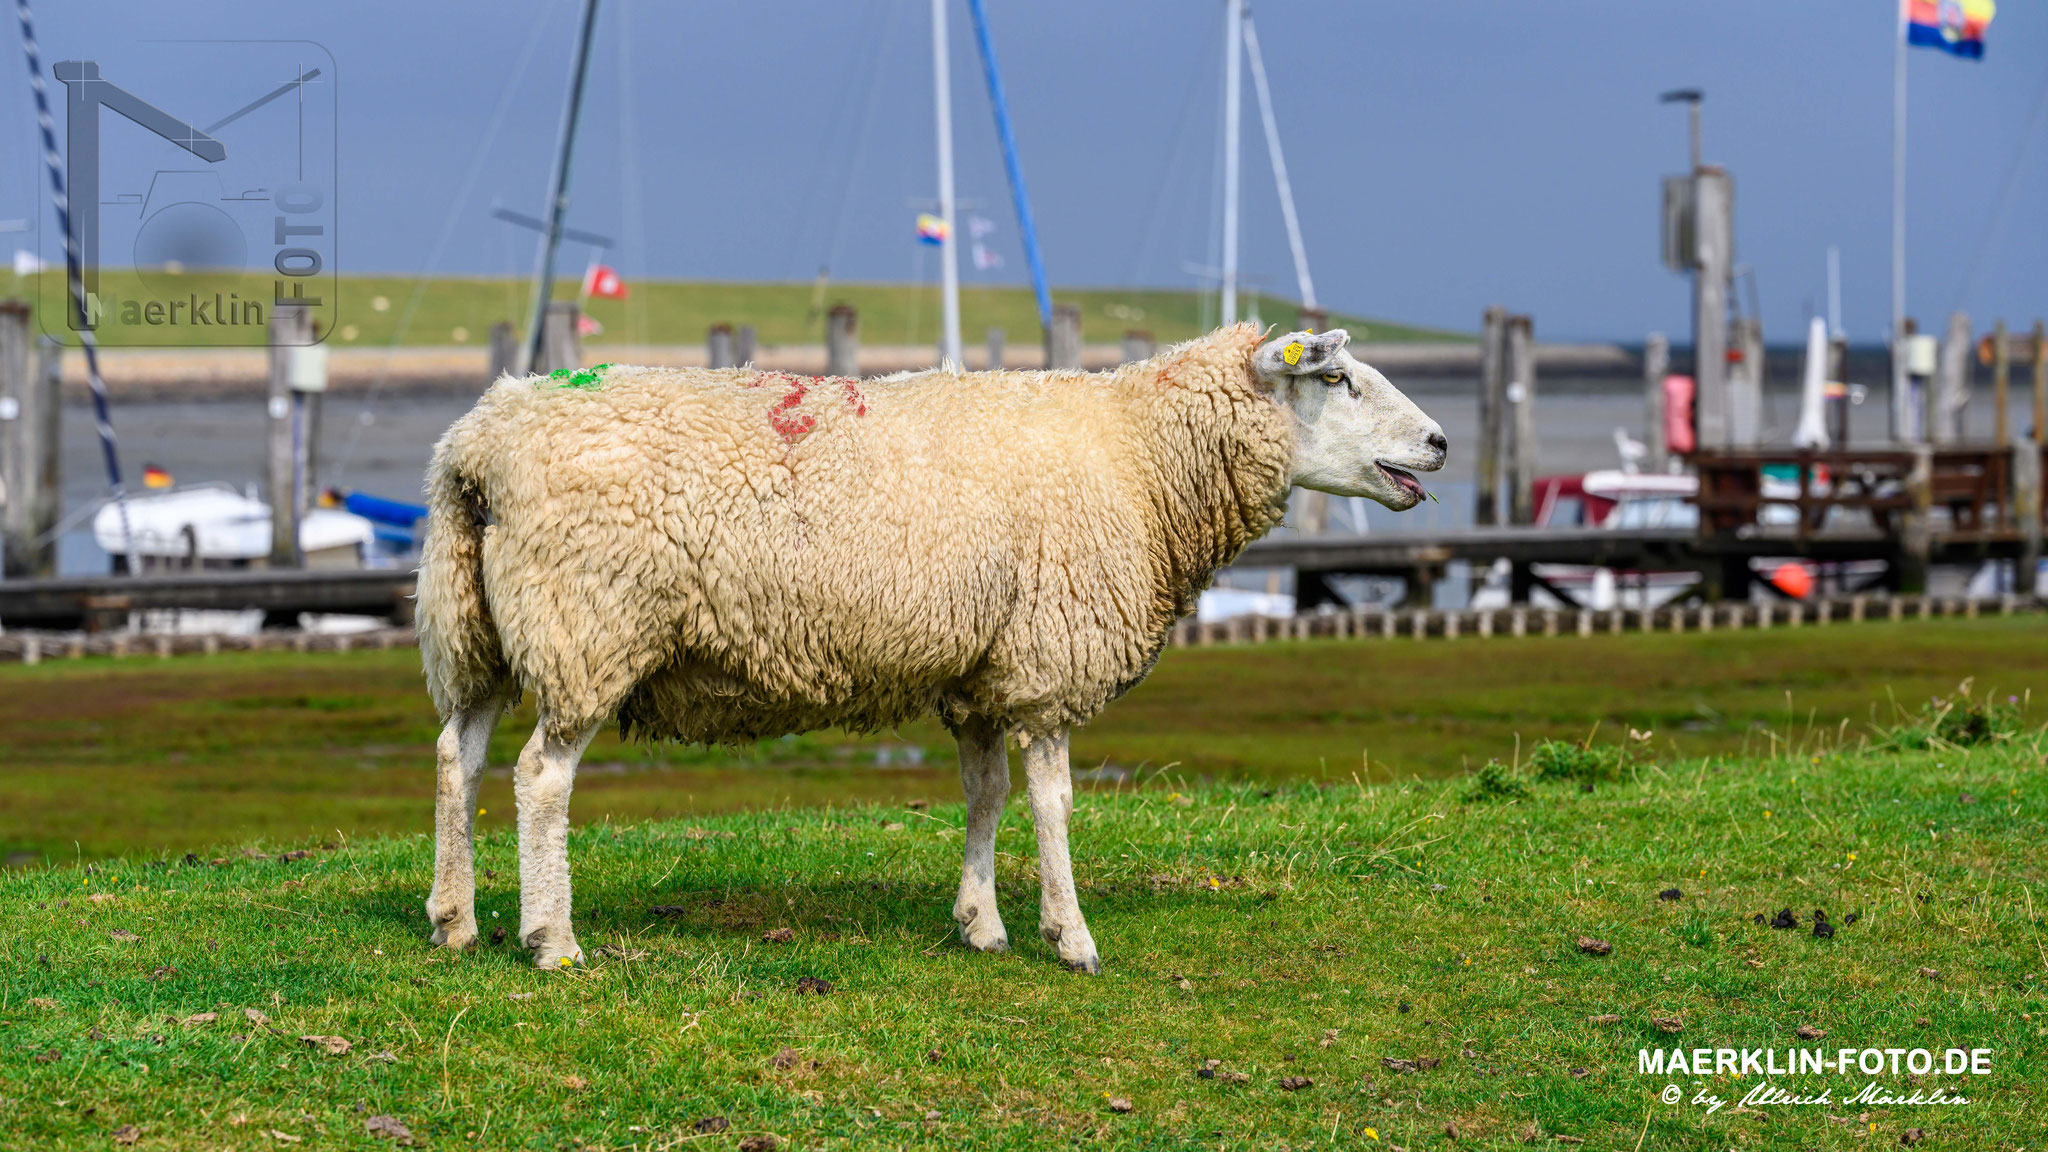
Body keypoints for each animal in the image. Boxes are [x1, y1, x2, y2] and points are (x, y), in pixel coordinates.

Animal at [416, 324, 1446, 972]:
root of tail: (478, 444)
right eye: (1336, 380)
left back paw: (454, 920)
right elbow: (1054, 802)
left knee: (458, 756)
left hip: (472, 630)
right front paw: (1070, 937)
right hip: (587, 624)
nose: (1439, 442)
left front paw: (980, 924)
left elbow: (984, 795)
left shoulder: (979, 670)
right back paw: (551, 940)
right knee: (540, 779)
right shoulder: (1047, 656)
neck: (1144, 459)